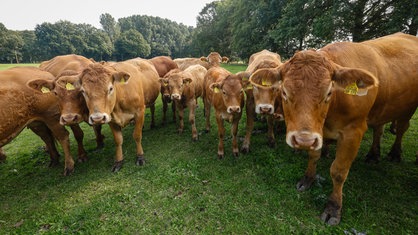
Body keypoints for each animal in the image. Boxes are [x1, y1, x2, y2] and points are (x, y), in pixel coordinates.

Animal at [272, 32, 418, 225]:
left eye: (328, 92)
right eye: (284, 92)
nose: (303, 140)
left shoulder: (353, 132)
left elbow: (339, 171)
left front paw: (333, 208)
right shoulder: (318, 133)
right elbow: (313, 156)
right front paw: (308, 179)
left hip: (407, 109)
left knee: (401, 129)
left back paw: (394, 153)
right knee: (379, 129)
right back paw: (373, 155)